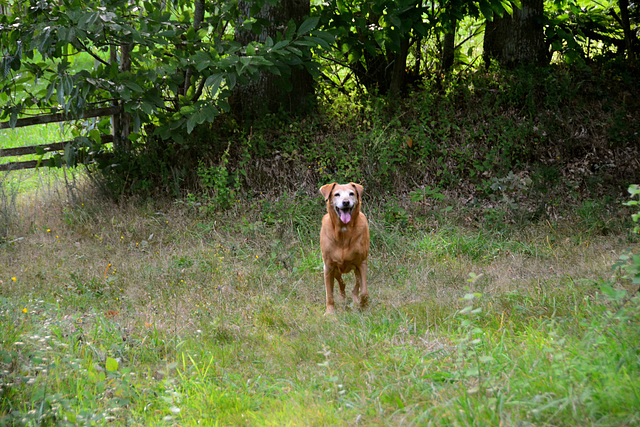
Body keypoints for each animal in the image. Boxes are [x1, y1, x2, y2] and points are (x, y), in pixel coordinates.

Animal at [318, 182, 370, 316]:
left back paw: (355, 300)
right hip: (336, 269)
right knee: (342, 283)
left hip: (356, 269)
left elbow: (364, 291)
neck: (343, 231)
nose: (346, 202)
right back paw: (343, 300)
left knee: (356, 286)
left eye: (351, 193)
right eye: (337, 194)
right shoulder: (328, 267)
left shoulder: (361, 263)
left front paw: (362, 307)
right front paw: (330, 312)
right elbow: (329, 294)